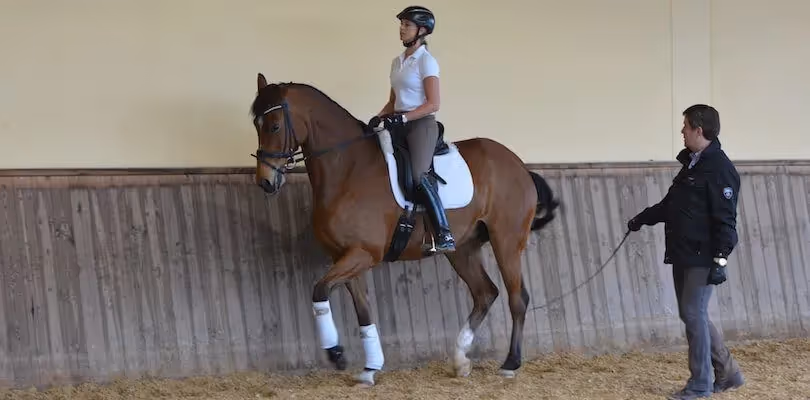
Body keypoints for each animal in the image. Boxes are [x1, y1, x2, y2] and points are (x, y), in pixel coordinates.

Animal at [249, 73, 560, 386]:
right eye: (256, 125)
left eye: (274, 125)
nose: (265, 182)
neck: (348, 169)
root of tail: (519, 165)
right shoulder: (346, 257)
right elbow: (363, 312)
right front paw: (370, 368)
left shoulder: (365, 254)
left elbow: (319, 290)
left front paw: (336, 353)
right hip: (462, 249)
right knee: (485, 293)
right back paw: (460, 360)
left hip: (505, 240)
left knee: (517, 298)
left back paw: (510, 363)